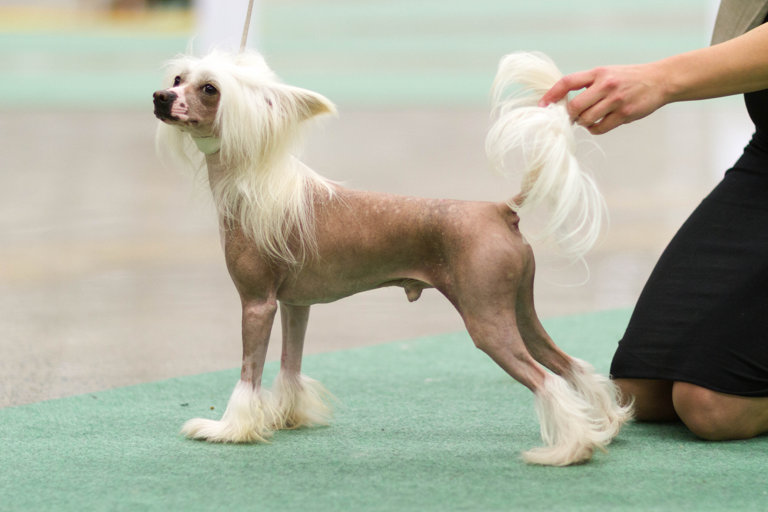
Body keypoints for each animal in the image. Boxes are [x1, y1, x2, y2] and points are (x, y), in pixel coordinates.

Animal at [153, 51, 632, 464]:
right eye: (177, 79)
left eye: (209, 89)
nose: (160, 97)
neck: (253, 184)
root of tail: (501, 209)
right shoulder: (294, 305)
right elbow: (291, 365)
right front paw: (288, 416)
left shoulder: (256, 304)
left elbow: (248, 374)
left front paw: (229, 429)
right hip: (518, 311)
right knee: (568, 365)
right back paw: (603, 427)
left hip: (487, 321)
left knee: (546, 380)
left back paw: (569, 450)